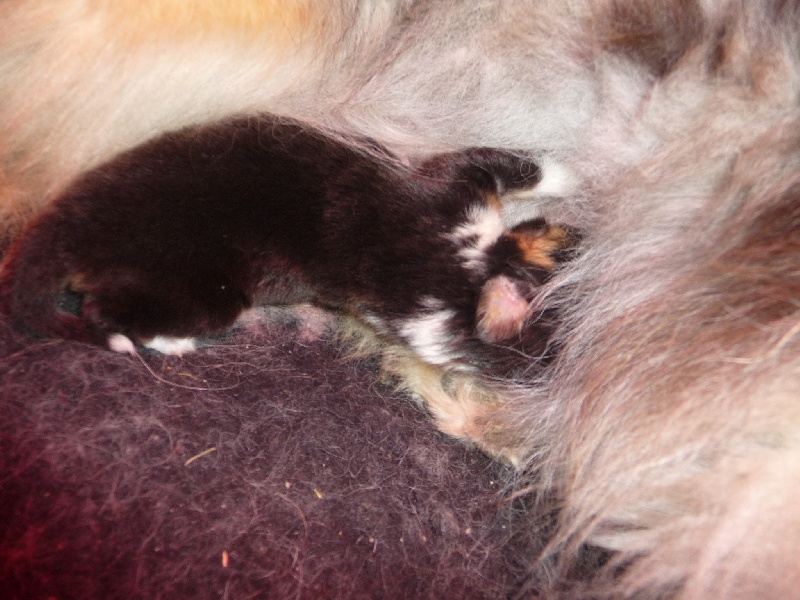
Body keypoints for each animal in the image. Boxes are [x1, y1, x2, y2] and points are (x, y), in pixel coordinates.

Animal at [0, 115, 576, 372]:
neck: (471, 262)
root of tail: (72, 223)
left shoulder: (458, 181)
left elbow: (518, 165)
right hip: (204, 294)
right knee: (105, 312)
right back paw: (170, 343)